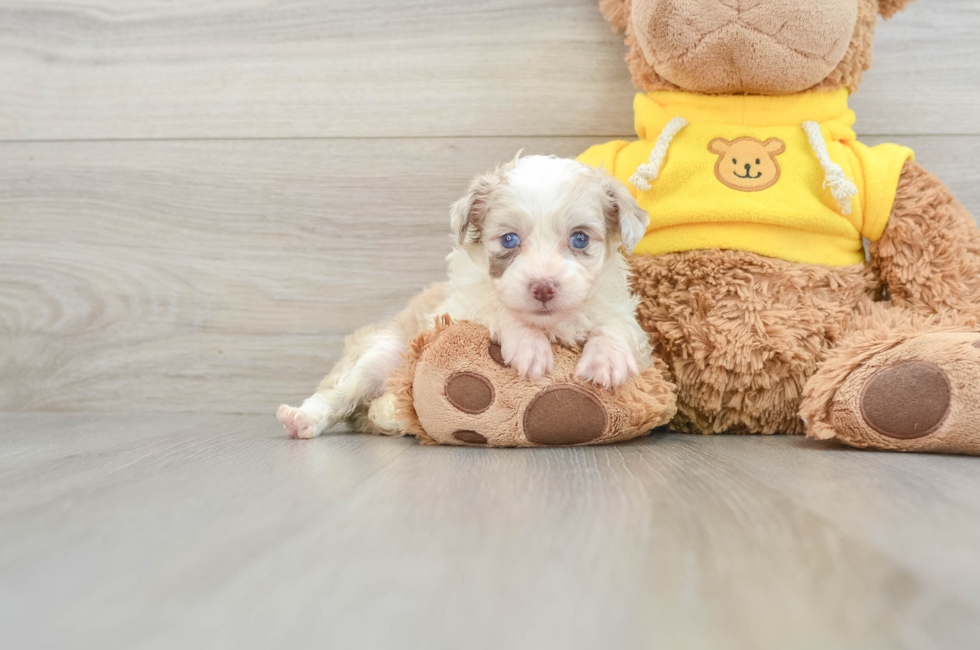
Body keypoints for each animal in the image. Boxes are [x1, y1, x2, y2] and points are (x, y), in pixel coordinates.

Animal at [280, 156, 656, 440]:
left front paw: (608, 358)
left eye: (580, 239)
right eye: (508, 240)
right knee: (337, 392)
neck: (550, 324)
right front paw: (528, 345)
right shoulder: (455, 309)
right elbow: (495, 308)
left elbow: (616, 323)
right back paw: (303, 418)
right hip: (381, 354)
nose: (543, 287)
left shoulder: (621, 311)